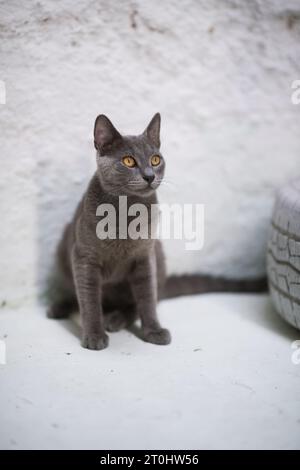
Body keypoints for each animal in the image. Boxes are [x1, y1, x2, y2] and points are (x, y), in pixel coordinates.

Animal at [48, 113, 266, 348]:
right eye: (128, 161)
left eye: (155, 160)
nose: (149, 175)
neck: (126, 212)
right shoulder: (84, 257)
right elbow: (89, 299)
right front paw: (95, 336)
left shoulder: (145, 255)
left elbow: (147, 297)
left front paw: (153, 331)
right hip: (64, 248)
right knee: (77, 292)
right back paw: (60, 307)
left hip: (158, 253)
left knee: (146, 299)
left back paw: (115, 318)